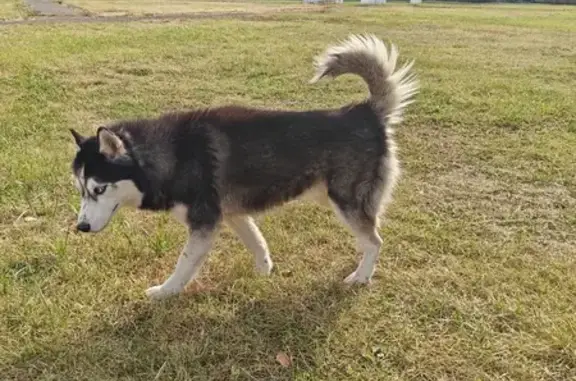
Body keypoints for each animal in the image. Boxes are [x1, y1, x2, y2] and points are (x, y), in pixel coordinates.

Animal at [70, 34, 418, 298]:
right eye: (81, 190)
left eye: (99, 189)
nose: (81, 228)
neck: (171, 154)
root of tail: (365, 112)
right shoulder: (233, 213)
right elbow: (257, 242)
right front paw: (264, 273)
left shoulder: (204, 223)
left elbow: (184, 265)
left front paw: (164, 292)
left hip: (345, 200)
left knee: (374, 241)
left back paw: (361, 276)